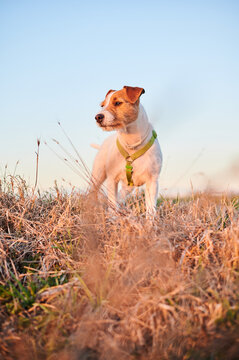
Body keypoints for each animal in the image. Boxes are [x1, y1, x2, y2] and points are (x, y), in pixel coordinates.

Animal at [91, 85, 162, 214]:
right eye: (102, 105)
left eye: (118, 103)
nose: (98, 117)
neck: (131, 144)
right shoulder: (112, 179)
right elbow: (112, 203)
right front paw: (113, 216)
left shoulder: (152, 181)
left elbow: (151, 209)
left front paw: (151, 219)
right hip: (97, 175)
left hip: (129, 187)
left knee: (120, 196)